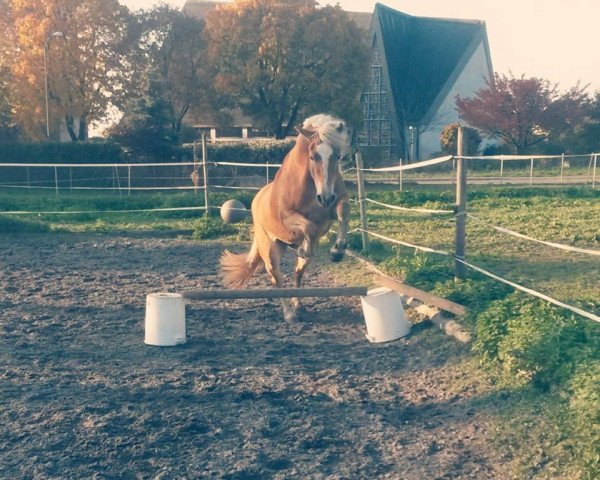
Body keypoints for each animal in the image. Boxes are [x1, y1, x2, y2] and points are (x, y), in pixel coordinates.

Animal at [220, 114, 352, 320]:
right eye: (313, 156)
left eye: (337, 156)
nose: (325, 197)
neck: (310, 185)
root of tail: (256, 199)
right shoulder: (288, 217)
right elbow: (309, 227)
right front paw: (307, 248)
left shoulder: (334, 206)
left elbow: (343, 211)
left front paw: (337, 251)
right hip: (269, 251)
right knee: (276, 279)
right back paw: (289, 313)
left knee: (297, 274)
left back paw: (298, 304)